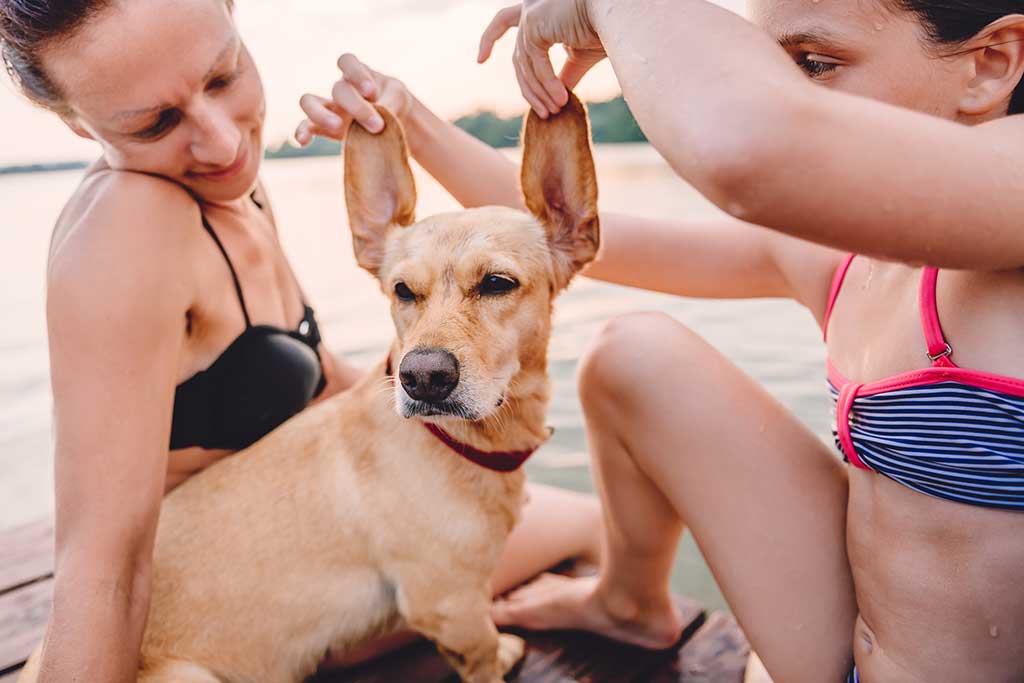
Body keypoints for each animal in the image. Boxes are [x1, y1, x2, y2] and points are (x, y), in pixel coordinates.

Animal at [19, 94, 598, 683]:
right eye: (402, 291)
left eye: (498, 283)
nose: (421, 378)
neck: (464, 444)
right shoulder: (451, 606)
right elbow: (481, 652)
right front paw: (500, 655)